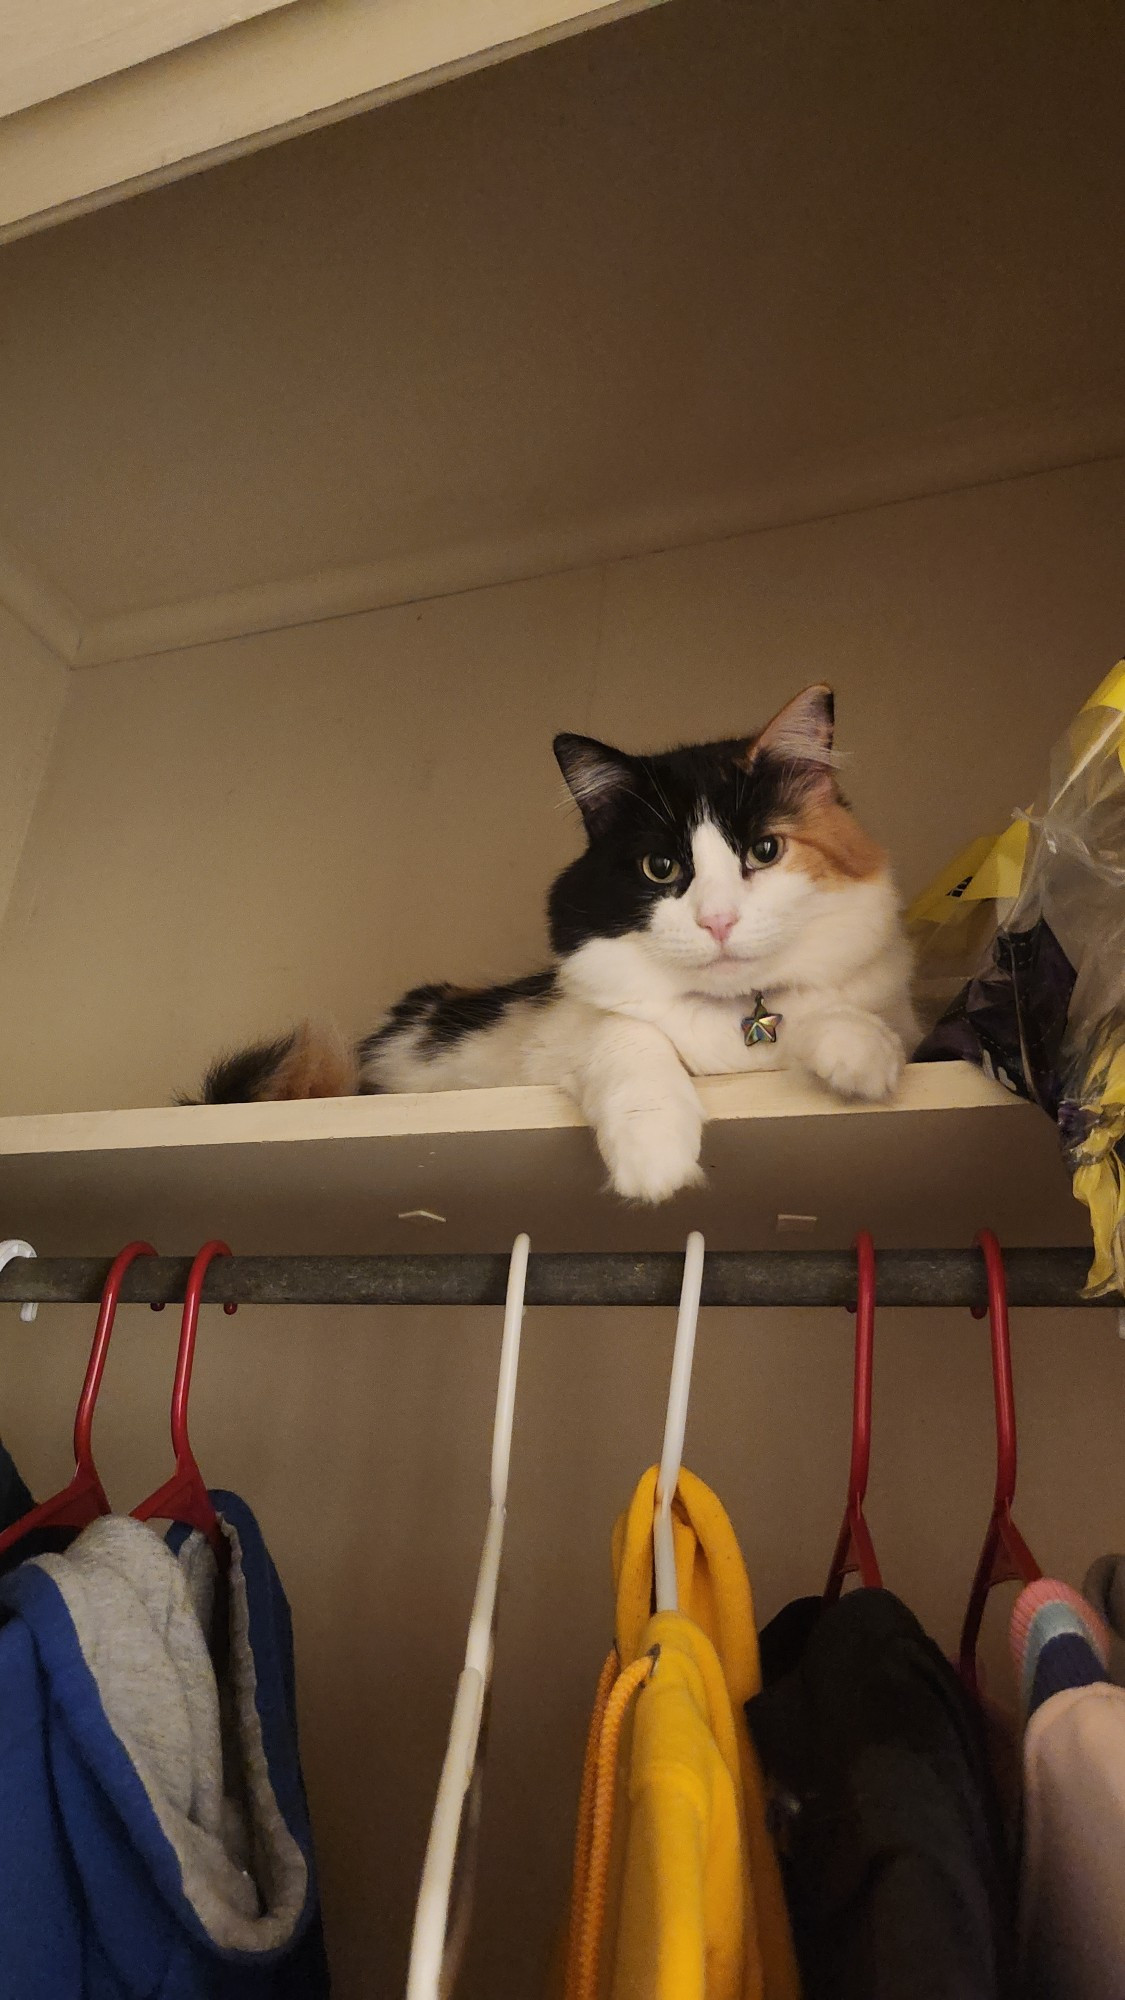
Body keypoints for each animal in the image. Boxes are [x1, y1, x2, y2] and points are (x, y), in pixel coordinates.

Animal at [192, 688, 912, 1200]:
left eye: (764, 851)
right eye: (661, 868)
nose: (717, 921)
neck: (734, 1023)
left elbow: (837, 1011)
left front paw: (860, 1057)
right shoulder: (560, 1039)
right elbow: (628, 1037)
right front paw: (654, 1158)